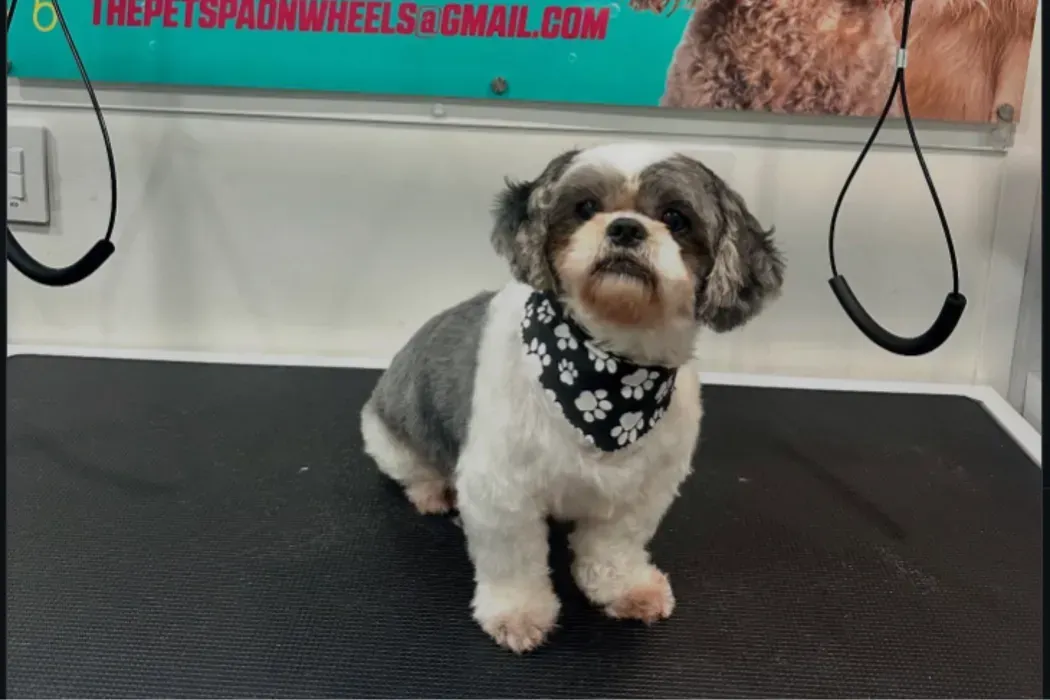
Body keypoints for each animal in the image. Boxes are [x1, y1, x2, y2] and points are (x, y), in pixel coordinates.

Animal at [360, 143, 785, 653]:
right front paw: (518, 613)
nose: (625, 227)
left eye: (675, 217)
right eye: (585, 207)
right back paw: (433, 491)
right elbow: (514, 561)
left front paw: (624, 588)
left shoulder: (642, 490)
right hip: (390, 433)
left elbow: (614, 546)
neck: (608, 380)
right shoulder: (502, 490)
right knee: (415, 469)